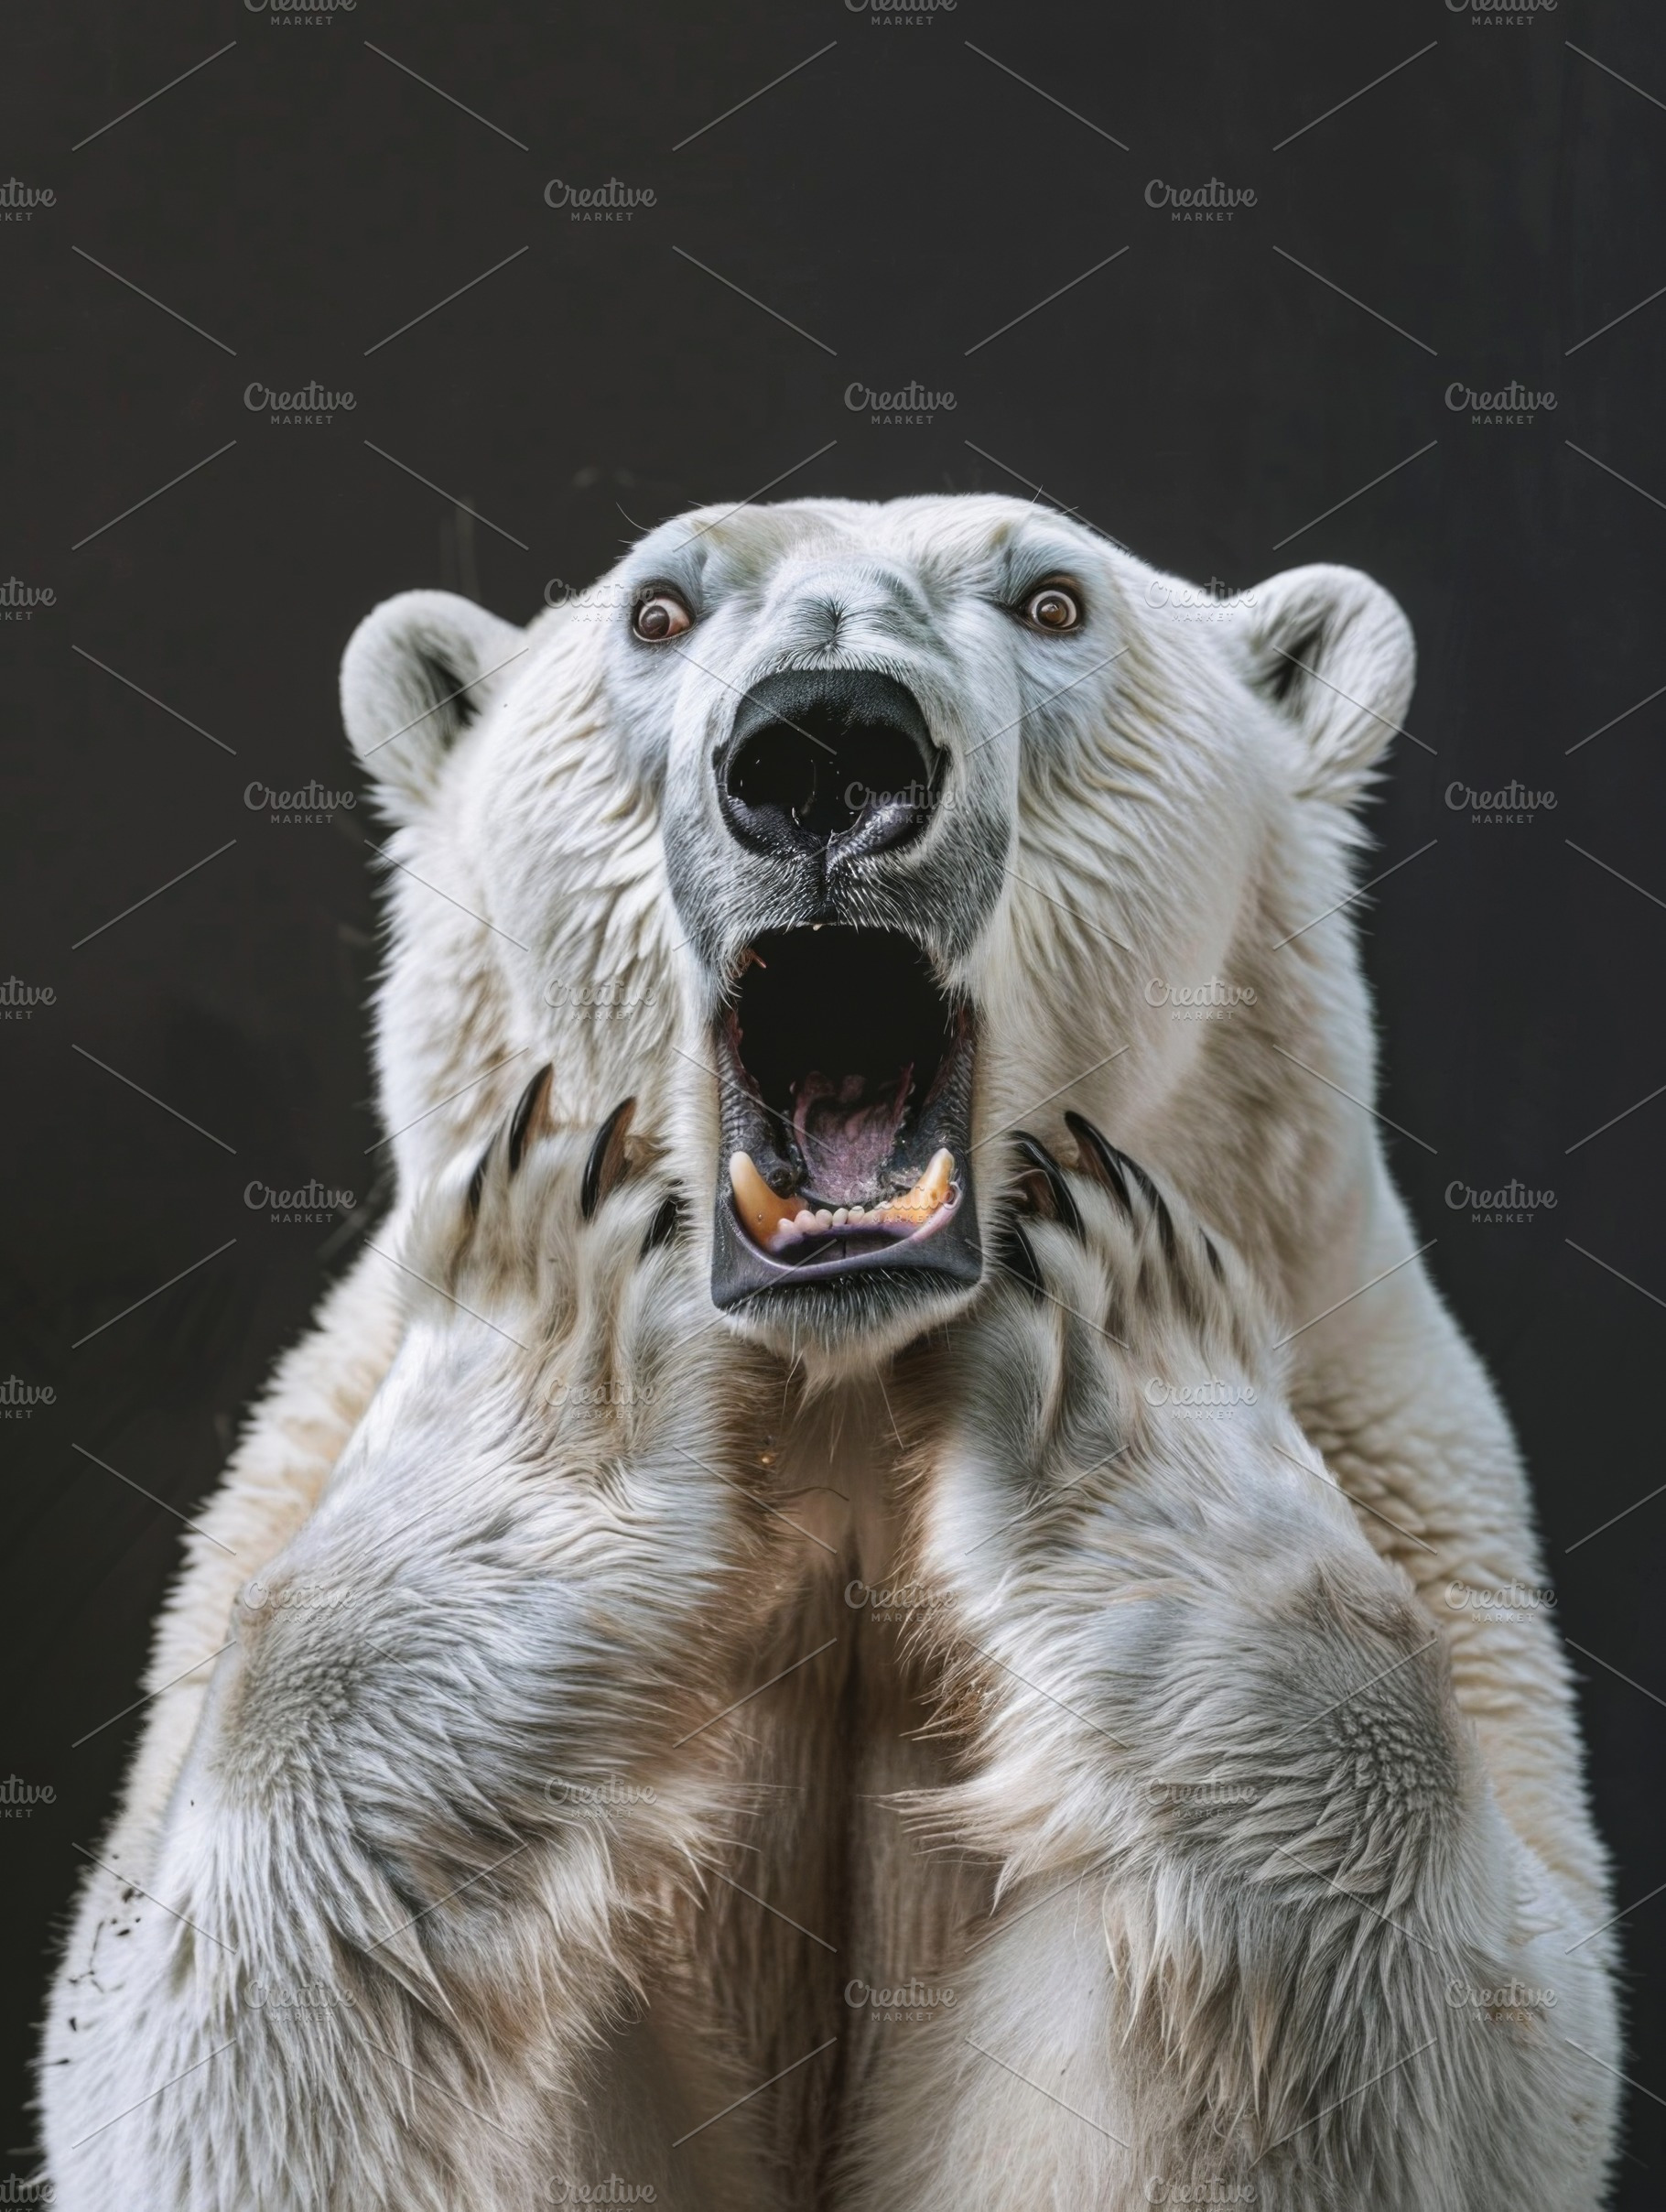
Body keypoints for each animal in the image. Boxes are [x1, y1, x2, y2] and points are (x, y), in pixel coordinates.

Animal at [39, 494, 1619, 2205]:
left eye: (1053, 599)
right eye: (658, 610)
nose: (823, 745)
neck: (846, 1393)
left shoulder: (1393, 1432)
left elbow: (1448, 2036)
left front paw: (1134, 1386)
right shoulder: (303, 1467)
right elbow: (219, 2057)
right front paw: (557, 1351)